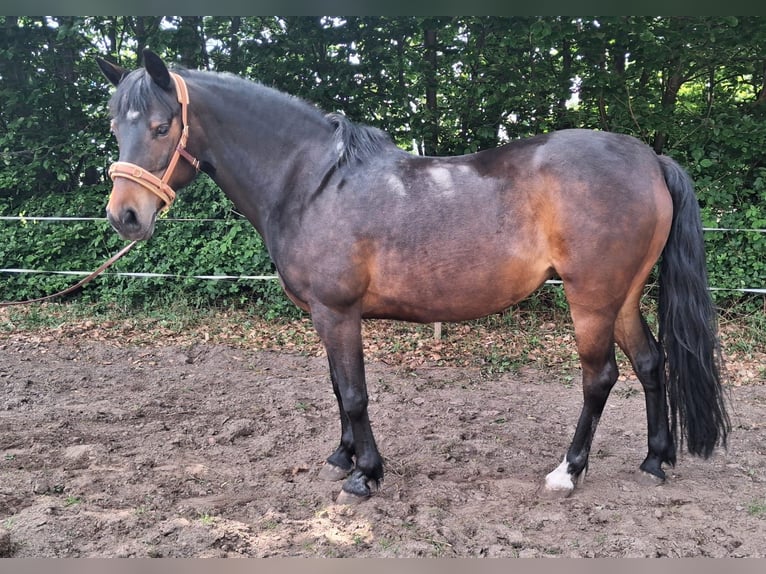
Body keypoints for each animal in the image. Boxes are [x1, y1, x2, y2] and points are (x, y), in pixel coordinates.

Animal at [96, 49, 730, 502]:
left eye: (161, 127)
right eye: (115, 127)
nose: (125, 216)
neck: (312, 182)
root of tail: (648, 158)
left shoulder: (338, 313)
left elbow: (354, 393)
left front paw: (365, 475)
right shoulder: (326, 318)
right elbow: (337, 388)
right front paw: (343, 457)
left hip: (591, 299)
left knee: (600, 379)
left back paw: (567, 473)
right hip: (622, 296)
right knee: (650, 363)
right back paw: (655, 460)